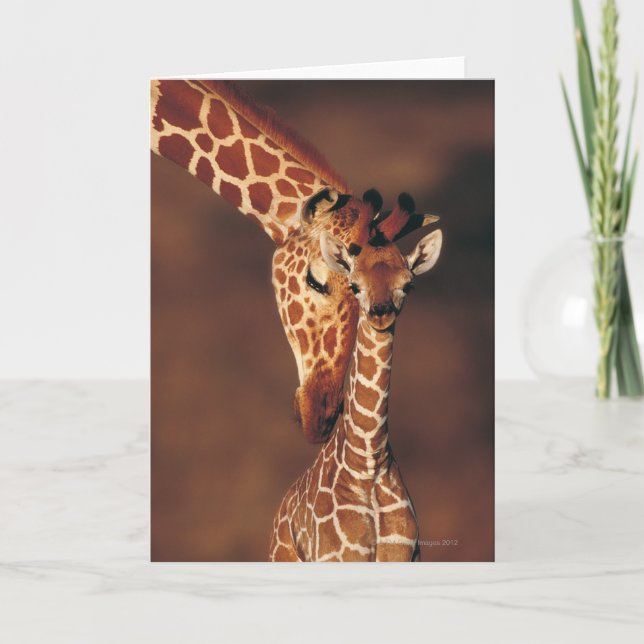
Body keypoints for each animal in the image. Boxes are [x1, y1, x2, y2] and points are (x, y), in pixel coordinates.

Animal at [270, 194, 443, 561]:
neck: (368, 462)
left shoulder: (407, 555)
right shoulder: (336, 556)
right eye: (355, 285)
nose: (380, 313)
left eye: (408, 284)